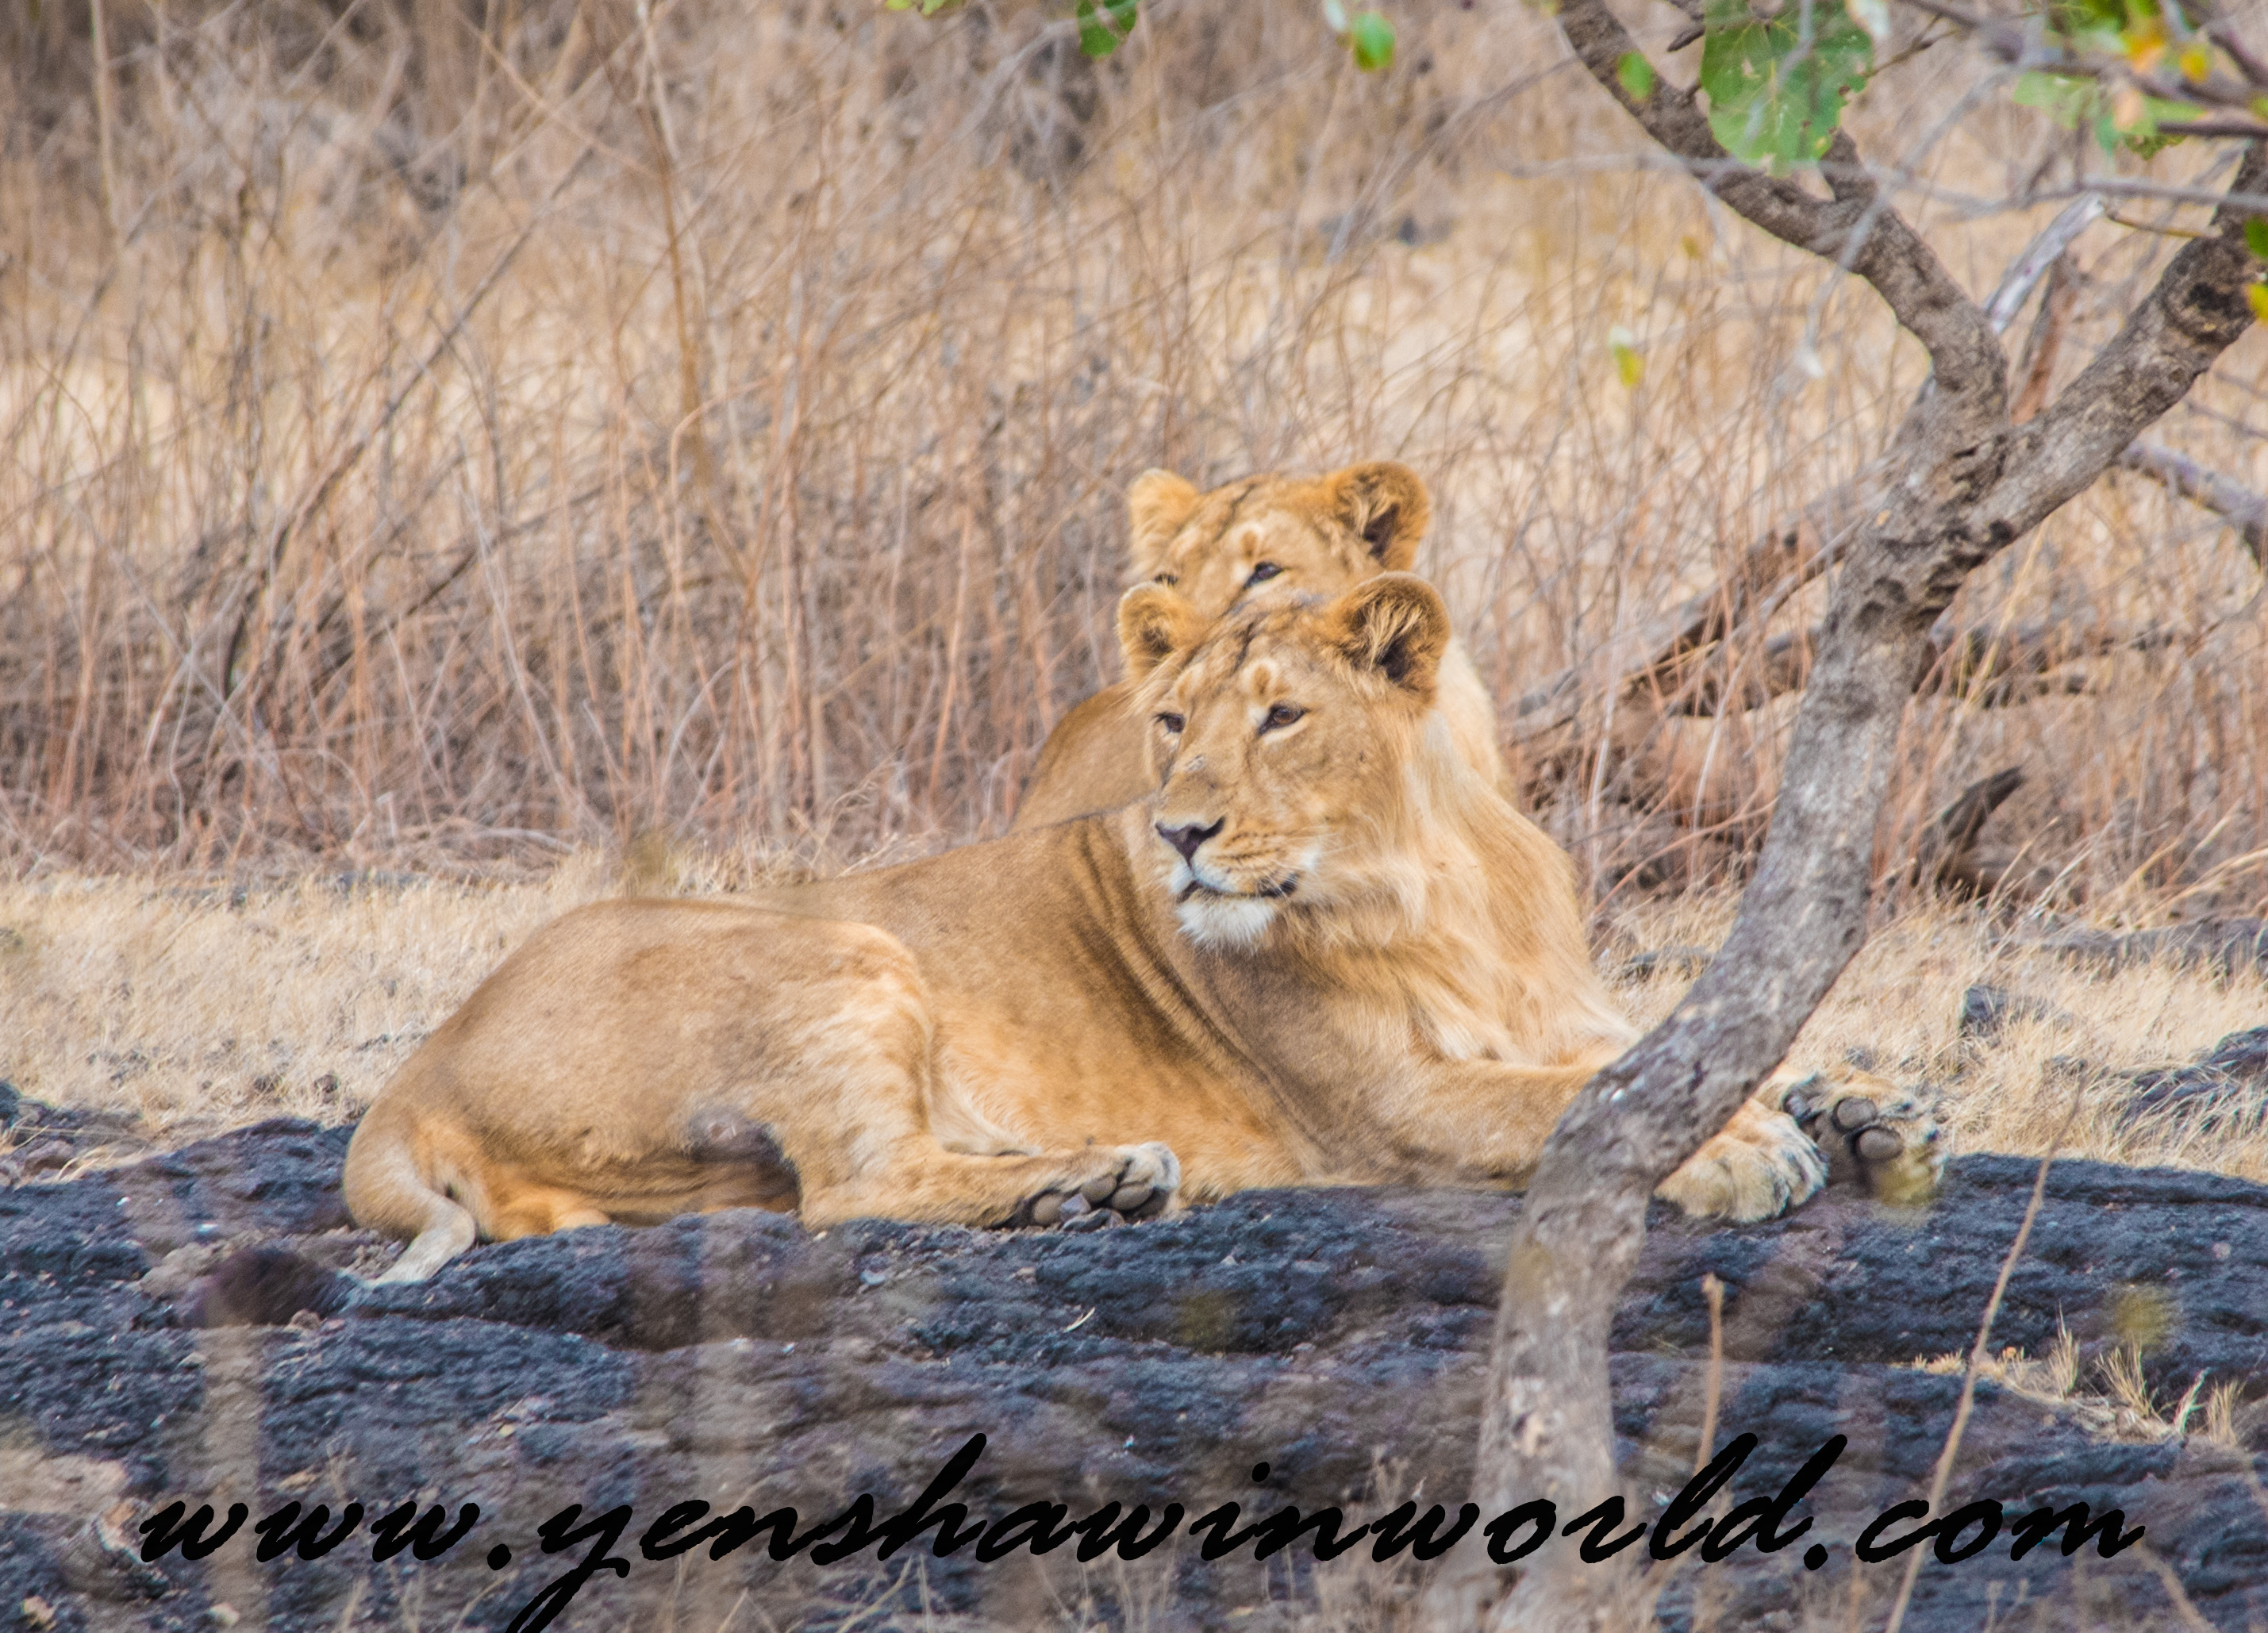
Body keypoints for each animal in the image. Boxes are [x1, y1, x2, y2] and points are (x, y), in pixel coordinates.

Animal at [344, 575, 1941, 1282]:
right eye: (1170, 722)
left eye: (1279, 716)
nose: (1177, 832)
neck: (1436, 884)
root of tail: (417, 1066)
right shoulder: (1393, 1104)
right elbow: (1571, 1102)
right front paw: (1745, 1152)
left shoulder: (1575, 1013)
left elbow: (1677, 1055)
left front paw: (1870, 1110)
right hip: (842, 949)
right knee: (854, 1191)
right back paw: (1093, 1183)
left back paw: (1085, 1188)